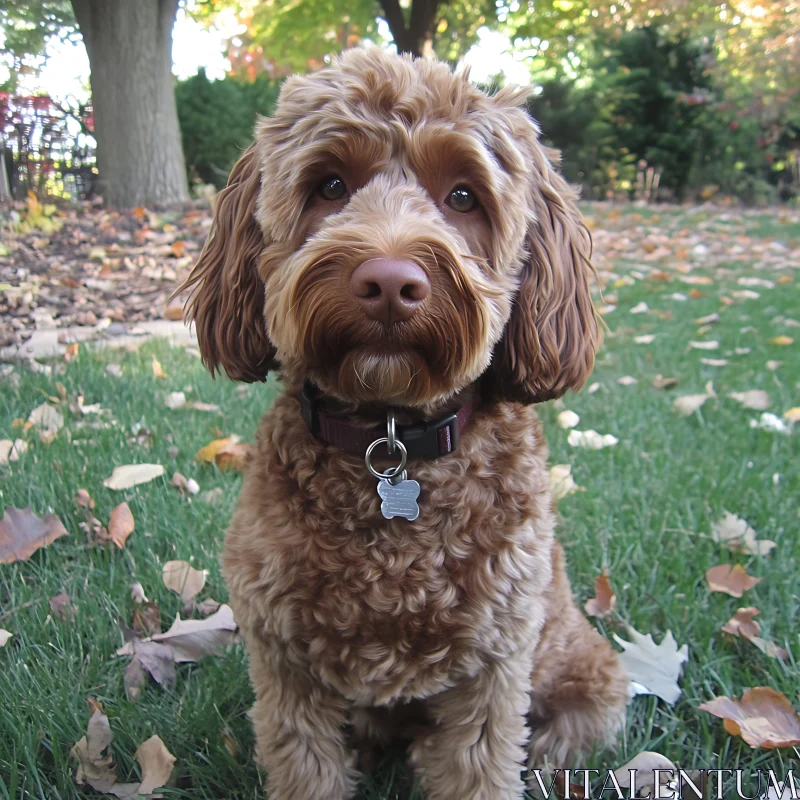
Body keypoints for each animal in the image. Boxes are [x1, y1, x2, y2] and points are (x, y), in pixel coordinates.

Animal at [178, 48, 628, 800]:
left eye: (464, 196)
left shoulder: (494, 667)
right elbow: (306, 767)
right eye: (330, 184)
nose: (389, 281)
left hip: (588, 674)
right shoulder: (284, 664)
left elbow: (479, 769)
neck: (390, 441)